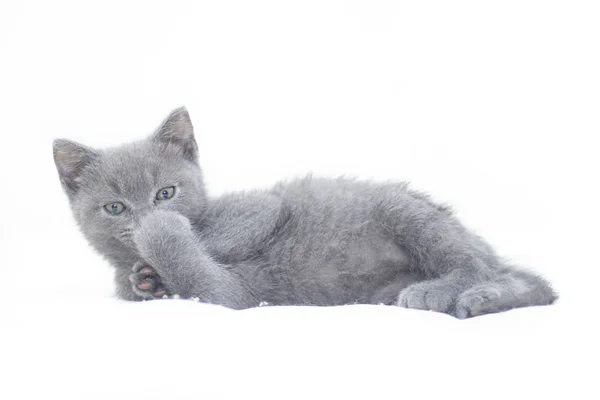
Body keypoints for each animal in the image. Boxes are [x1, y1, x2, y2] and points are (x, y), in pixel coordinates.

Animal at [52, 107, 556, 318]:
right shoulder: (224, 292)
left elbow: (210, 241)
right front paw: (144, 280)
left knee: (475, 265)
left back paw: (442, 292)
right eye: (114, 207)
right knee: (534, 284)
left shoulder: (256, 211)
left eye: (166, 192)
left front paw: (158, 243)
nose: (140, 218)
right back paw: (484, 300)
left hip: (404, 211)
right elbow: (184, 281)